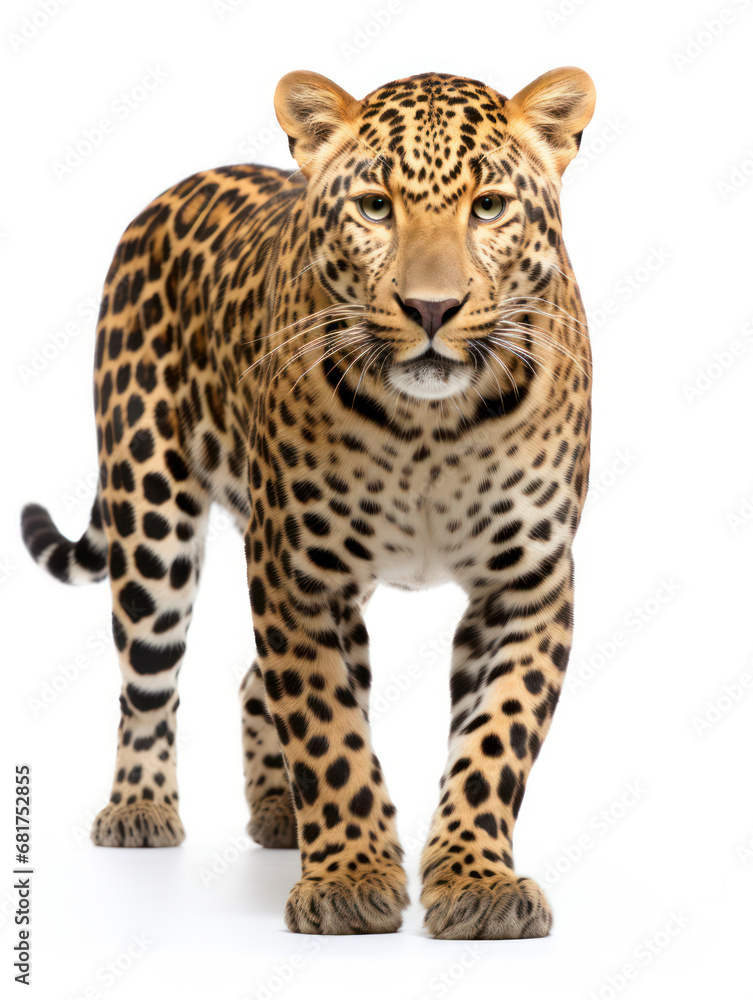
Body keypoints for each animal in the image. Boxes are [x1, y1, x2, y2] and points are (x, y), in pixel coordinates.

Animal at [21, 66, 596, 939]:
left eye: (489, 206)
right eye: (376, 207)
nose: (432, 309)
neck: (431, 429)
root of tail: (173, 189)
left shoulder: (527, 579)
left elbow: (496, 738)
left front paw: (477, 882)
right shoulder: (296, 568)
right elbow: (327, 727)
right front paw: (352, 878)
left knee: (249, 682)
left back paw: (278, 813)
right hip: (149, 511)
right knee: (147, 681)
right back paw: (140, 809)